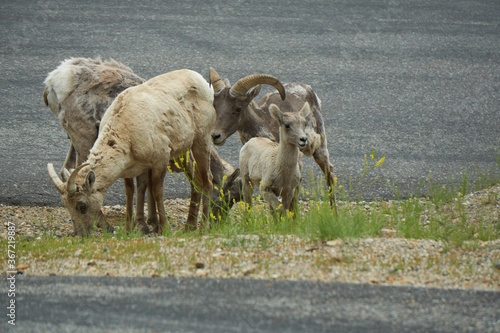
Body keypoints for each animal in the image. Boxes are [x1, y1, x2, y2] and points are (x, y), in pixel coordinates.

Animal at [207, 68, 336, 206]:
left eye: (238, 108)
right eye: (215, 106)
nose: (215, 136)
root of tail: (308, 89)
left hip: (320, 148)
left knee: (329, 173)